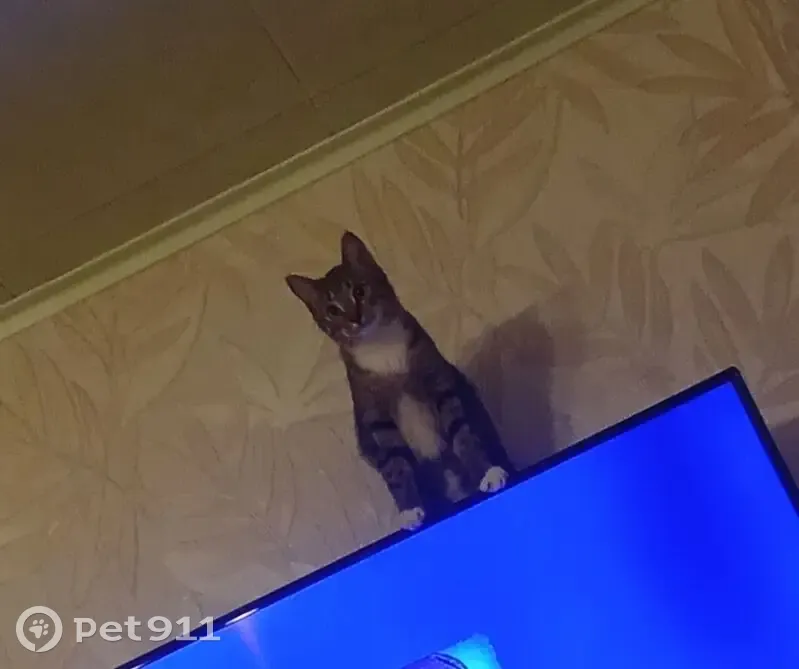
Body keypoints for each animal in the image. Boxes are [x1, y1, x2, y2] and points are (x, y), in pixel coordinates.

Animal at [285, 231, 514, 531]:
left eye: (359, 291)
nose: (355, 318)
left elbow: (462, 433)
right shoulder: (375, 415)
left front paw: (488, 472)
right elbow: (396, 465)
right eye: (332, 310)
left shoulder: (440, 384)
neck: (380, 347)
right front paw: (411, 510)